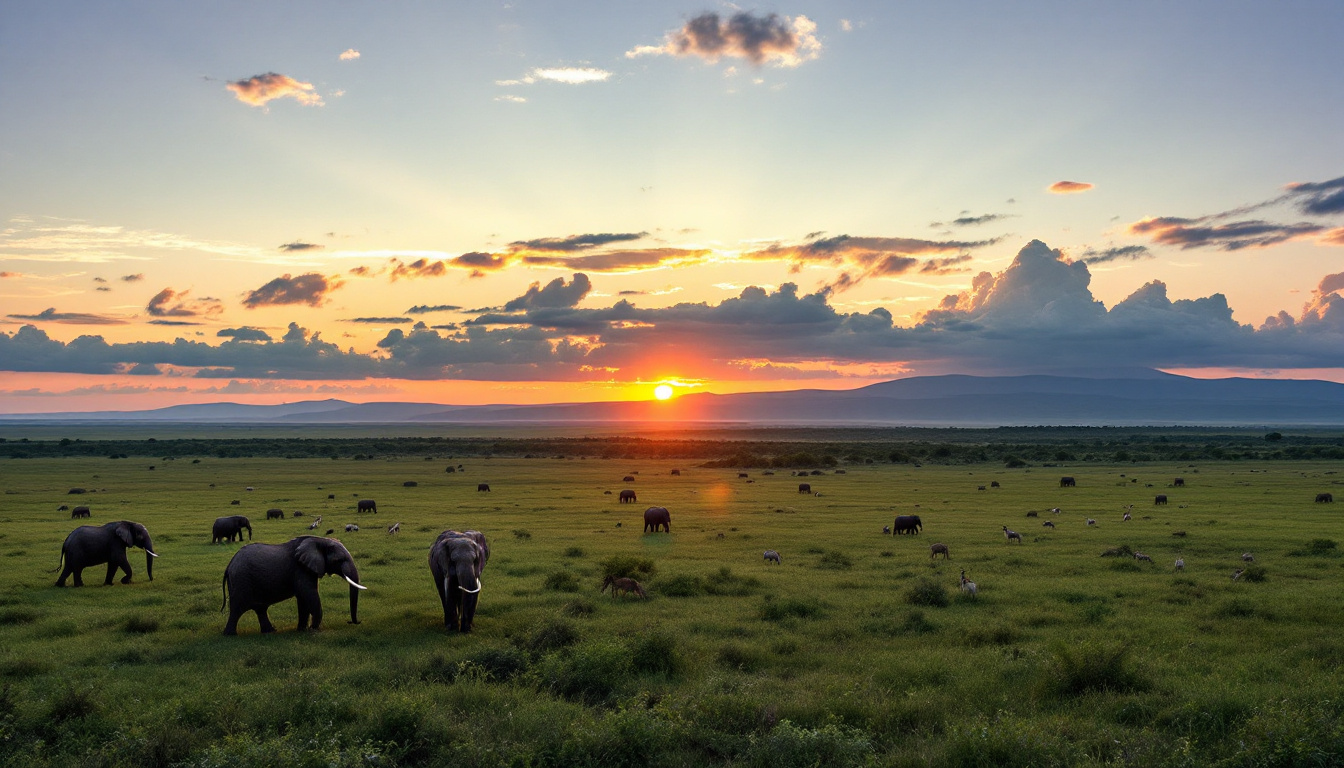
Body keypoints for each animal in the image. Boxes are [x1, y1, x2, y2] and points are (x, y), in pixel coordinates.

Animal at [221, 535, 365, 637]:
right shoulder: (301, 569)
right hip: (241, 580)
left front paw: (302, 630)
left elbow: (303, 599)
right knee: (237, 609)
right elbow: (309, 594)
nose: (354, 622)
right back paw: (230, 635)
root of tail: (229, 565)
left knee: (260, 609)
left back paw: (270, 631)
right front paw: (313, 630)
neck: (319, 540)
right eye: (338, 560)